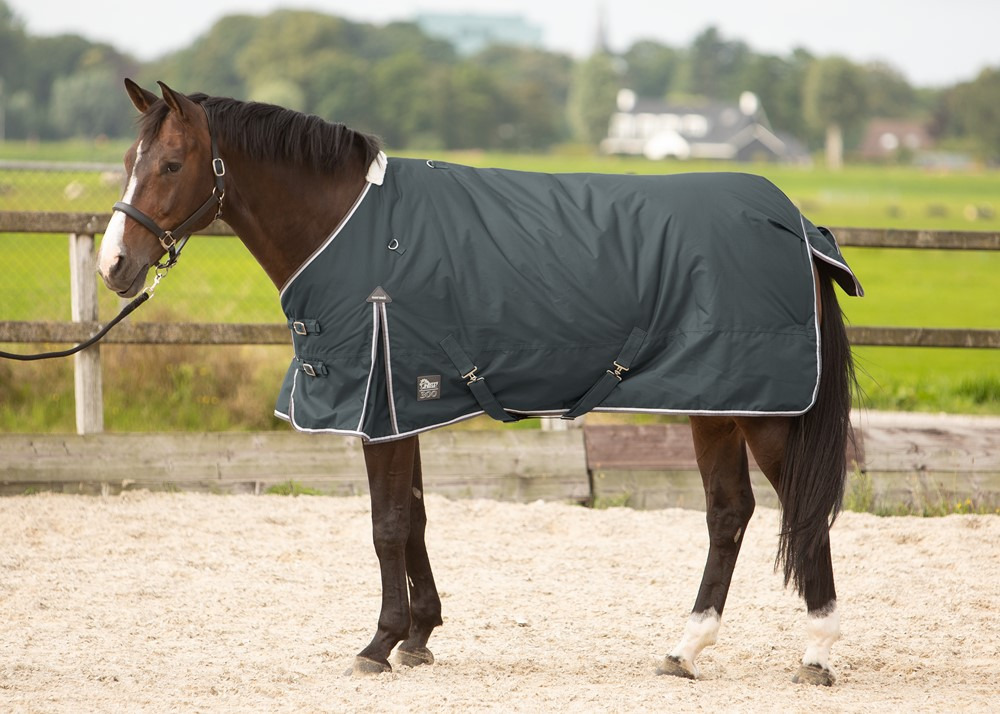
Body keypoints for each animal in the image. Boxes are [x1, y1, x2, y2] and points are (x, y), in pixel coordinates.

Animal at [97, 80, 861, 686]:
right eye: (129, 163)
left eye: (171, 164)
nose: (114, 267)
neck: (353, 229)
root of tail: (794, 224)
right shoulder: (403, 404)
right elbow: (415, 518)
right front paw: (418, 635)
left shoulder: (382, 405)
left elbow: (387, 525)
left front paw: (378, 644)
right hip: (717, 402)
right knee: (729, 512)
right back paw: (685, 649)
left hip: (762, 410)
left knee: (799, 509)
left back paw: (817, 653)